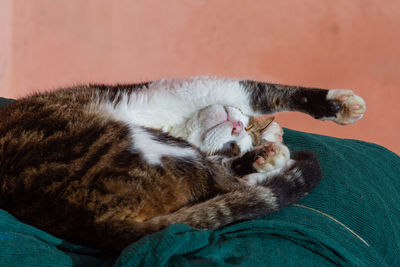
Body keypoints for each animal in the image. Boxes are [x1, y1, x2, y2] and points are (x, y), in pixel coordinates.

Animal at [0, 77, 366, 253]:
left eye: (235, 144)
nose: (237, 126)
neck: (174, 123)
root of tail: (99, 221)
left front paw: (265, 147)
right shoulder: (197, 89)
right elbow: (264, 92)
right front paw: (338, 105)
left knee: (230, 184)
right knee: (231, 185)